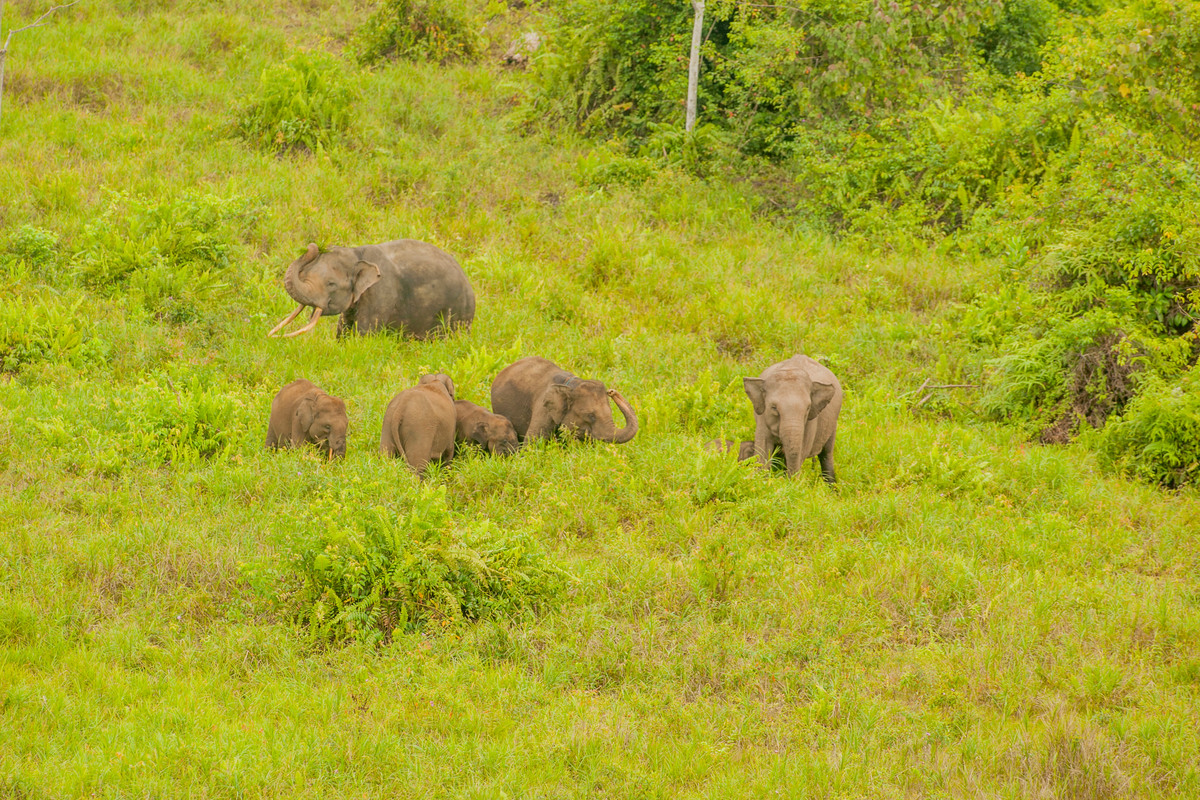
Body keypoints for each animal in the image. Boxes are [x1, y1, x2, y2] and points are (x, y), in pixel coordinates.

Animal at [270, 237, 475, 338]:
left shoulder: (380, 295)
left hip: (458, 316)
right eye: (305, 274)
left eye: (331, 284)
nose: (312, 246)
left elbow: (364, 335)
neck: (356, 253)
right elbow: (343, 330)